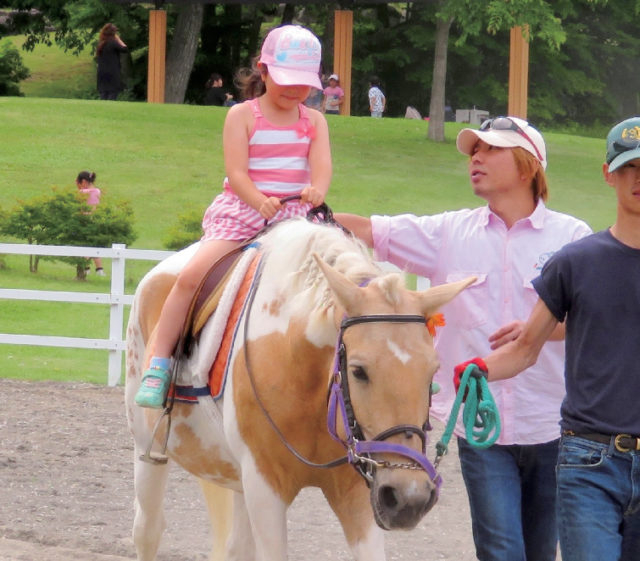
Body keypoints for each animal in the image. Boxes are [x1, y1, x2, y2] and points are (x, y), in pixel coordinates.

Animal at [125, 217, 475, 561]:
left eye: (432, 372)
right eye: (358, 371)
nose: (408, 498)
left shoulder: (358, 490)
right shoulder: (265, 486)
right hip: (147, 449)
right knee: (147, 531)